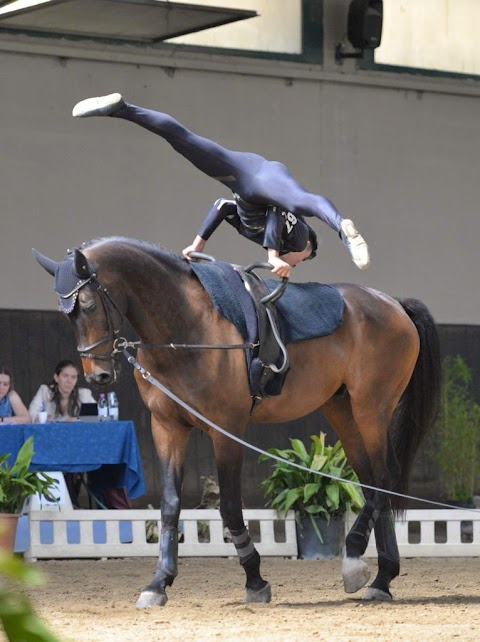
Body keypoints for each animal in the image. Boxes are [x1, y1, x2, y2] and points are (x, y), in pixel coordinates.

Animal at [31, 236, 440, 604]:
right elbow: (170, 505)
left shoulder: (225, 430)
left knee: (384, 478)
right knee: (373, 485)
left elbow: (228, 506)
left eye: (87, 303)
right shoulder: (167, 428)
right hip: (343, 412)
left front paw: (255, 580)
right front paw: (159, 583)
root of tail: (393, 304)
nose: (98, 376)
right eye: (65, 312)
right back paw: (381, 579)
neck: (186, 327)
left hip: (372, 408)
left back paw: (355, 559)